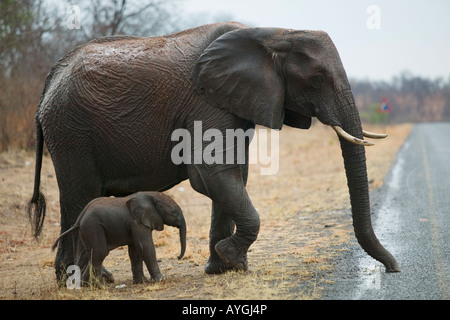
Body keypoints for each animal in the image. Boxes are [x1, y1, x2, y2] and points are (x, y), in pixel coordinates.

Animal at [51, 191, 185, 286]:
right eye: (173, 212)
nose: (178, 257)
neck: (152, 195)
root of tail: (80, 217)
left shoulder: (134, 225)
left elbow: (135, 250)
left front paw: (141, 282)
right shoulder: (137, 223)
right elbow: (145, 246)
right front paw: (160, 280)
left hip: (86, 230)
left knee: (93, 255)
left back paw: (85, 285)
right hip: (93, 227)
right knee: (100, 253)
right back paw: (99, 286)